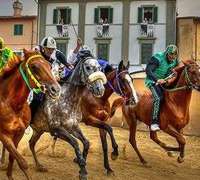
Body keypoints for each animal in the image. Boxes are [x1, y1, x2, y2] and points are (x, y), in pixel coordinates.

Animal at [0, 48, 60, 179]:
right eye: (34, 67)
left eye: (49, 65)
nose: (56, 89)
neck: (13, 106)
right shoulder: (3, 134)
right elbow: (22, 162)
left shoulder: (19, 133)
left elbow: (13, 158)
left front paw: (9, 175)